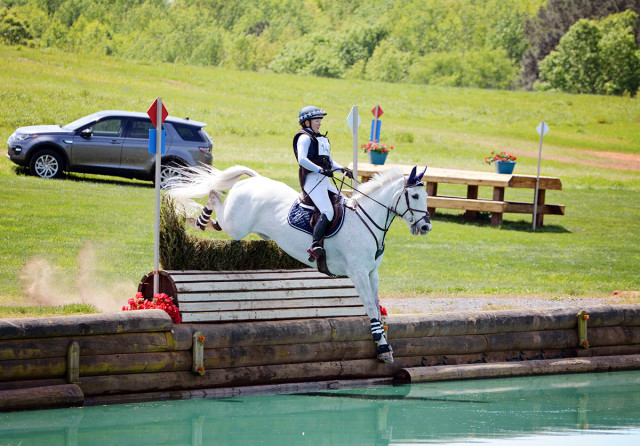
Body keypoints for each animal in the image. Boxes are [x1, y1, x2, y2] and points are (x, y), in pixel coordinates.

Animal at [168, 165, 432, 362]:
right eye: (415, 196)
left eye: (426, 196)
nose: (426, 227)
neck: (366, 219)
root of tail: (255, 180)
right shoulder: (357, 273)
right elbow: (369, 307)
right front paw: (382, 348)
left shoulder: (372, 273)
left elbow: (376, 306)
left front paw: (384, 344)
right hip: (237, 226)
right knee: (214, 195)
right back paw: (198, 220)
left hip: (237, 225)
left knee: (217, 214)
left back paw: (202, 221)